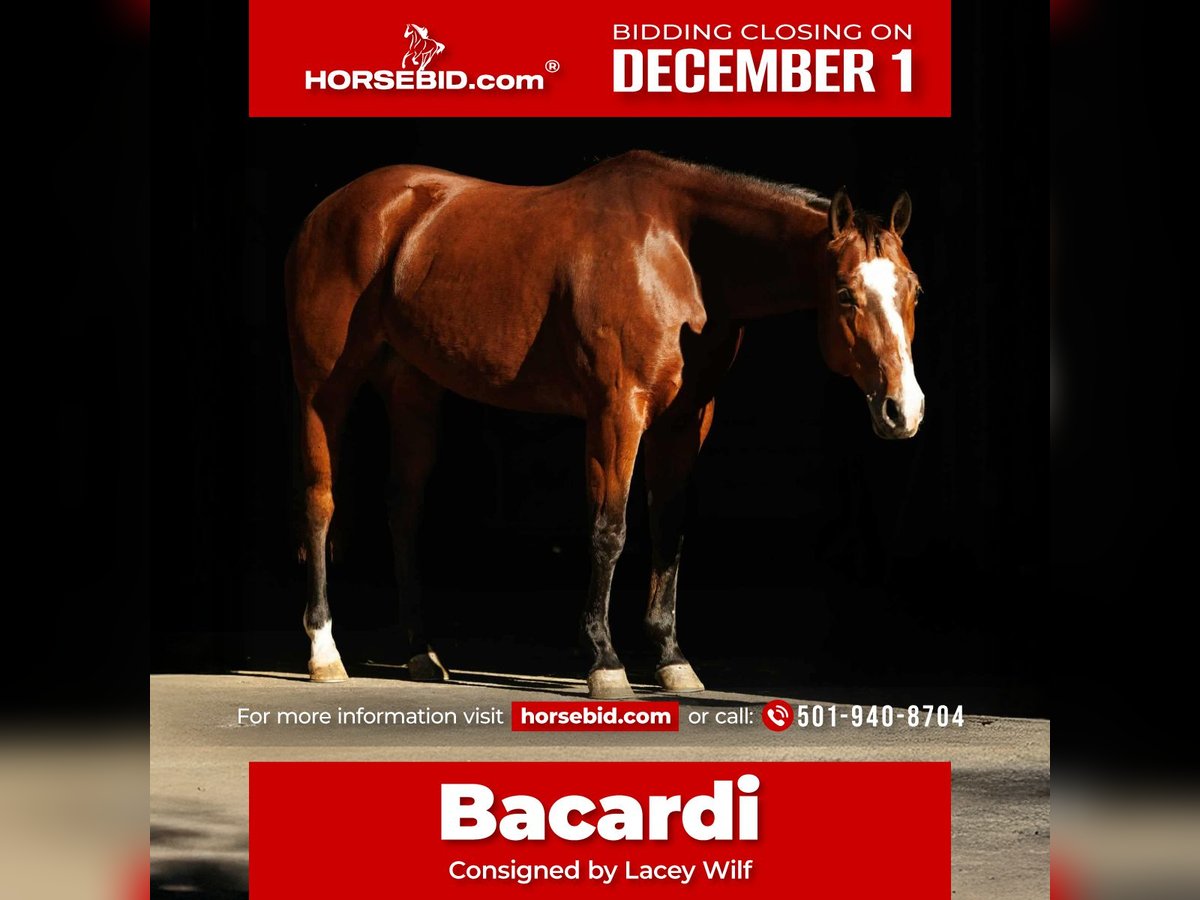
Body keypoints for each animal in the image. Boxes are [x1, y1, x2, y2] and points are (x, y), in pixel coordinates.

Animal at [285, 151, 925, 699]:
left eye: (914, 290)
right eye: (845, 293)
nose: (904, 409)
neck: (679, 255)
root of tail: (331, 210)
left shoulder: (687, 421)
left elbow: (669, 532)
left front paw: (672, 659)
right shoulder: (618, 412)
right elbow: (609, 530)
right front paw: (605, 661)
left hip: (412, 390)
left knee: (403, 510)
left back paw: (421, 651)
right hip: (323, 391)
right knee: (320, 503)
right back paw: (324, 652)